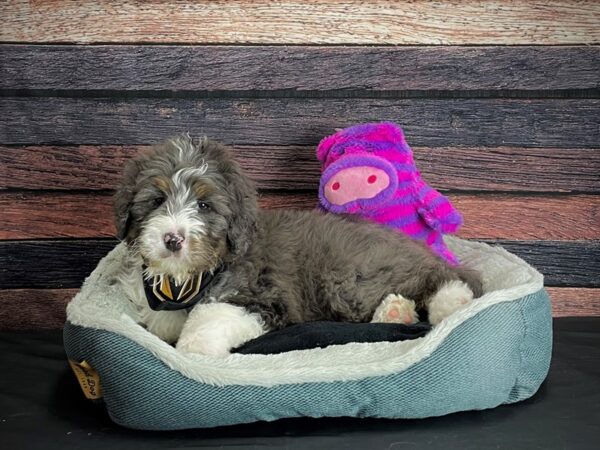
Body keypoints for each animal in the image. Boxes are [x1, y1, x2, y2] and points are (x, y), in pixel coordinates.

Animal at [115, 135, 482, 356]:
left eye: (204, 206)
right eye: (157, 200)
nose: (173, 239)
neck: (186, 280)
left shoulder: (264, 296)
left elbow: (209, 320)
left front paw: (195, 350)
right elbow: (161, 321)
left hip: (352, 276)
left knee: (441, 279)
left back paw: (449, 301)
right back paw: (395, 311)